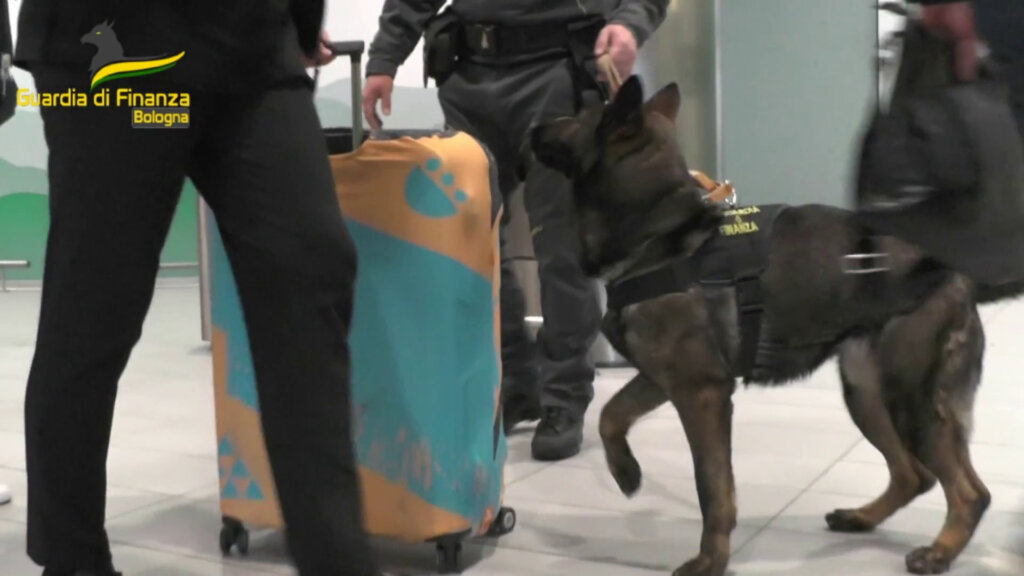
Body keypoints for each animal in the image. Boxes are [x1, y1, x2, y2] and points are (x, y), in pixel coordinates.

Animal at [523, 75, 997, 576]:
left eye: (578, 115)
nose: (533, 129)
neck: (659, 235)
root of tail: (952, 271)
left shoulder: (702, 393)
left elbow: (713, 489)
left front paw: (711, 559)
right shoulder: (660, 380)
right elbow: (611, 415)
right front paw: (625, 471)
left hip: (910, 401)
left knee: (970, 492)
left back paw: (940, 551)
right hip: (866, 394)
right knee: (914, 475)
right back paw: (863, 517)